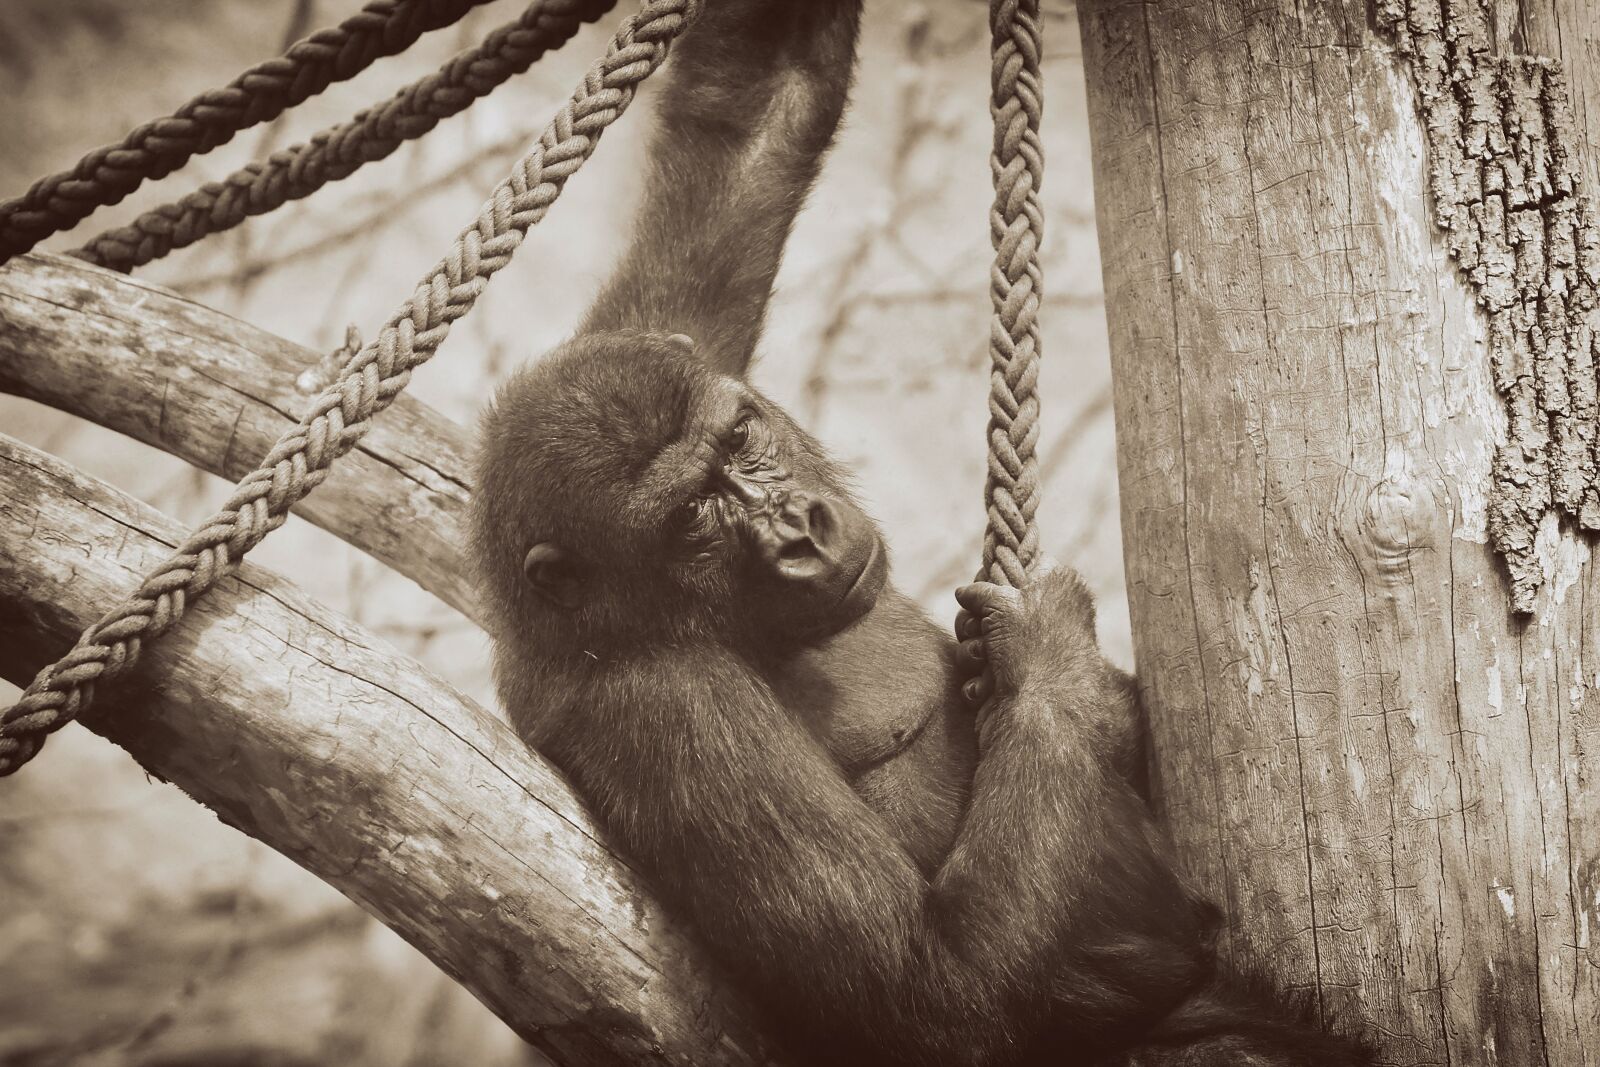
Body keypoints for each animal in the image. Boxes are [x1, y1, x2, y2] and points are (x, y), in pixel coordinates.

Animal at [470, 2, 1374, 1065]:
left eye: (741, 440)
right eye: (691, 518)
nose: (797, 528)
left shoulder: (654, 340)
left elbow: (760, 108)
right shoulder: (655, 705)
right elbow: (933, 982)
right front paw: (1057, 669)